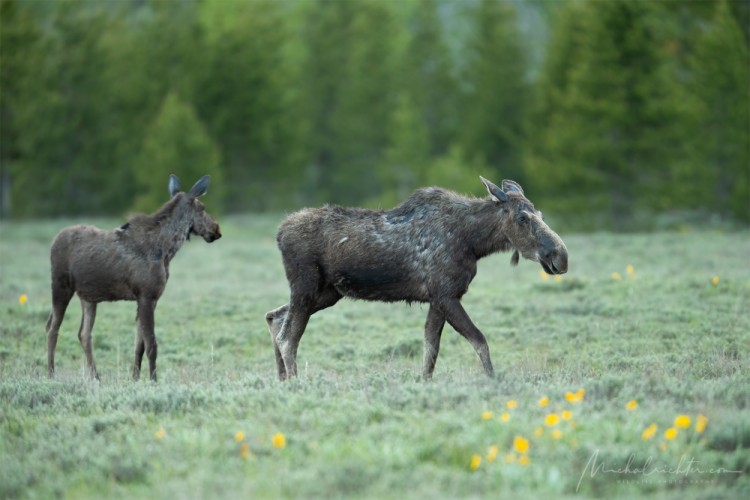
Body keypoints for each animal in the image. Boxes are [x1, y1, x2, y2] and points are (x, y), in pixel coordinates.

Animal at [46, 174, 222, 380]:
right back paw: (51, 374)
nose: (216, 229)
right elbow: (152, 345)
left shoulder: (151, 299)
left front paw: (135, 378)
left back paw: (96, 376)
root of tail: (53, 241)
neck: (167, 250)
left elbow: (139, 345)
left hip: (88, 296)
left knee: (84, 333)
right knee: (52, 328)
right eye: (202, 207)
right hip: (60, 286)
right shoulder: (146, 295)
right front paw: (153, 380)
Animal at [268, 176, 568, 378]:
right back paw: (296, 382)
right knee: (288, 337)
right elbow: (479, 340)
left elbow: (430, 350)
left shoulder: (437, 299)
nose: (560, 256)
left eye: (540, 213)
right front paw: (493, 382)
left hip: (328, 292)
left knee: (274, 318)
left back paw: (282, 380)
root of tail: (279, 233)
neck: (474, 243)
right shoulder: (447, 295)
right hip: (306, 286)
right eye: (522, 217)